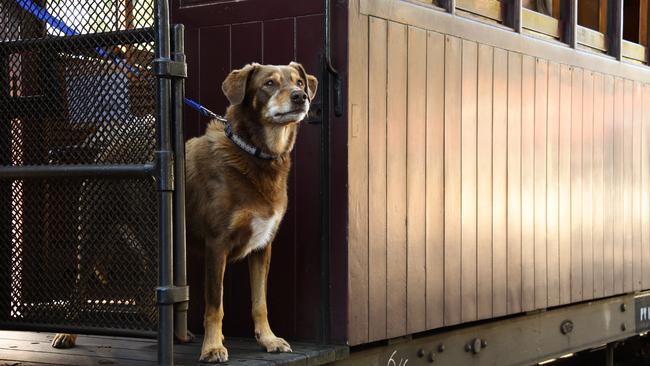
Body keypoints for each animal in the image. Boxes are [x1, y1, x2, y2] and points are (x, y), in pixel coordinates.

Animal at [184, 61, 316, 362]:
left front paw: (268, 340)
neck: (256, 153)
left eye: (299, 82)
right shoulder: (216, 244)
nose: (300, 97)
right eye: (269, 83)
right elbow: (215, 305)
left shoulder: (262, 246)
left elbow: (260, 302)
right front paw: (212, 346)